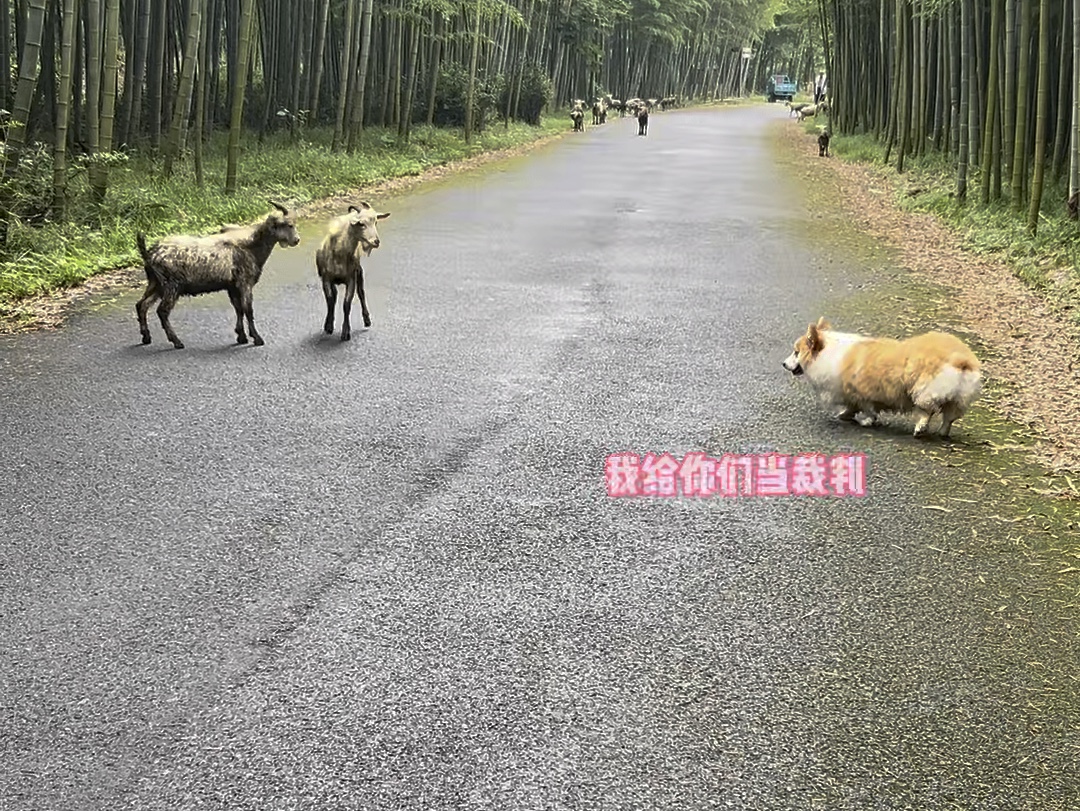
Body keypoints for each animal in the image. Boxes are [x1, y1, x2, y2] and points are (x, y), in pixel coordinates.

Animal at [133, 201, 300, 349]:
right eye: (289, 225)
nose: (297, 240)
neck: (251, 247)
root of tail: (150, 254)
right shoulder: (244, 282)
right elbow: (248, 309)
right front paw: (257, 338)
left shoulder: (232, 286)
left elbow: (239, 308)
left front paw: (241, 336)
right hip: (171, 285)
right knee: (162, 311)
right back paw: (176, 341)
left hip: (156, 283)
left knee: (142, 305)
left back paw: (146, 337)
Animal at [315, 204, 390, 343]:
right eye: (361, 223)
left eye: (376, 222)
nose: (376, 241)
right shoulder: (326, 278)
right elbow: (330, 300)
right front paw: (328, 326)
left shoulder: (351, 279)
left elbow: (346, 304)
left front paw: (346, 332)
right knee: (335, 296)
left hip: (359, 273)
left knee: (361, 293)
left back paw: (367, 320)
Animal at [781, 317, 984, 438]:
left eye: (796, 352)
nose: (783, 364)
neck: (828, 352)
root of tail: (961, 358)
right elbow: (851, 407)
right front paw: (846, 415)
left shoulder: (860, 393)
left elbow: (866, 408)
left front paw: (866, 421)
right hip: (957, 399)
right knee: (949, 418)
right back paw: (942, 433)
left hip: (923, 391)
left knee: (927, 411)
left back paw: (920, 429)